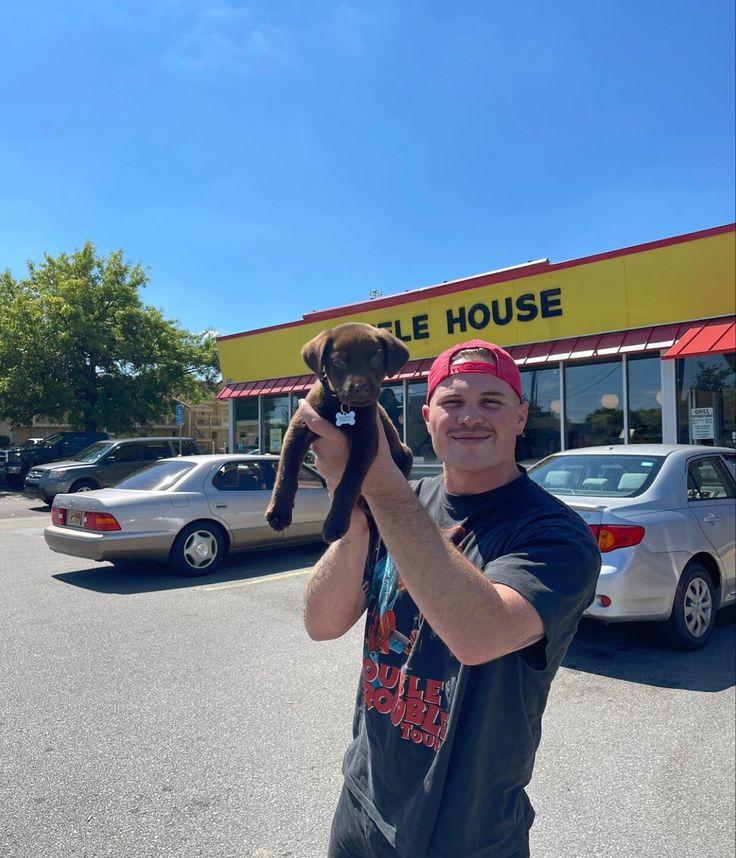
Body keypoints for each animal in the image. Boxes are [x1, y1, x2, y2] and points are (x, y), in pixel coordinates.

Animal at [264, 320, 414, 540]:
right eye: (339, 362)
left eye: (377, 359)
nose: (360, 388)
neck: (342, 406)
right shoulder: (298, 429)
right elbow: (286, 471)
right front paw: (278, 512)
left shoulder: (366, 442)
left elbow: (348, 484)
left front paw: (336, 522)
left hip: (406, 455)